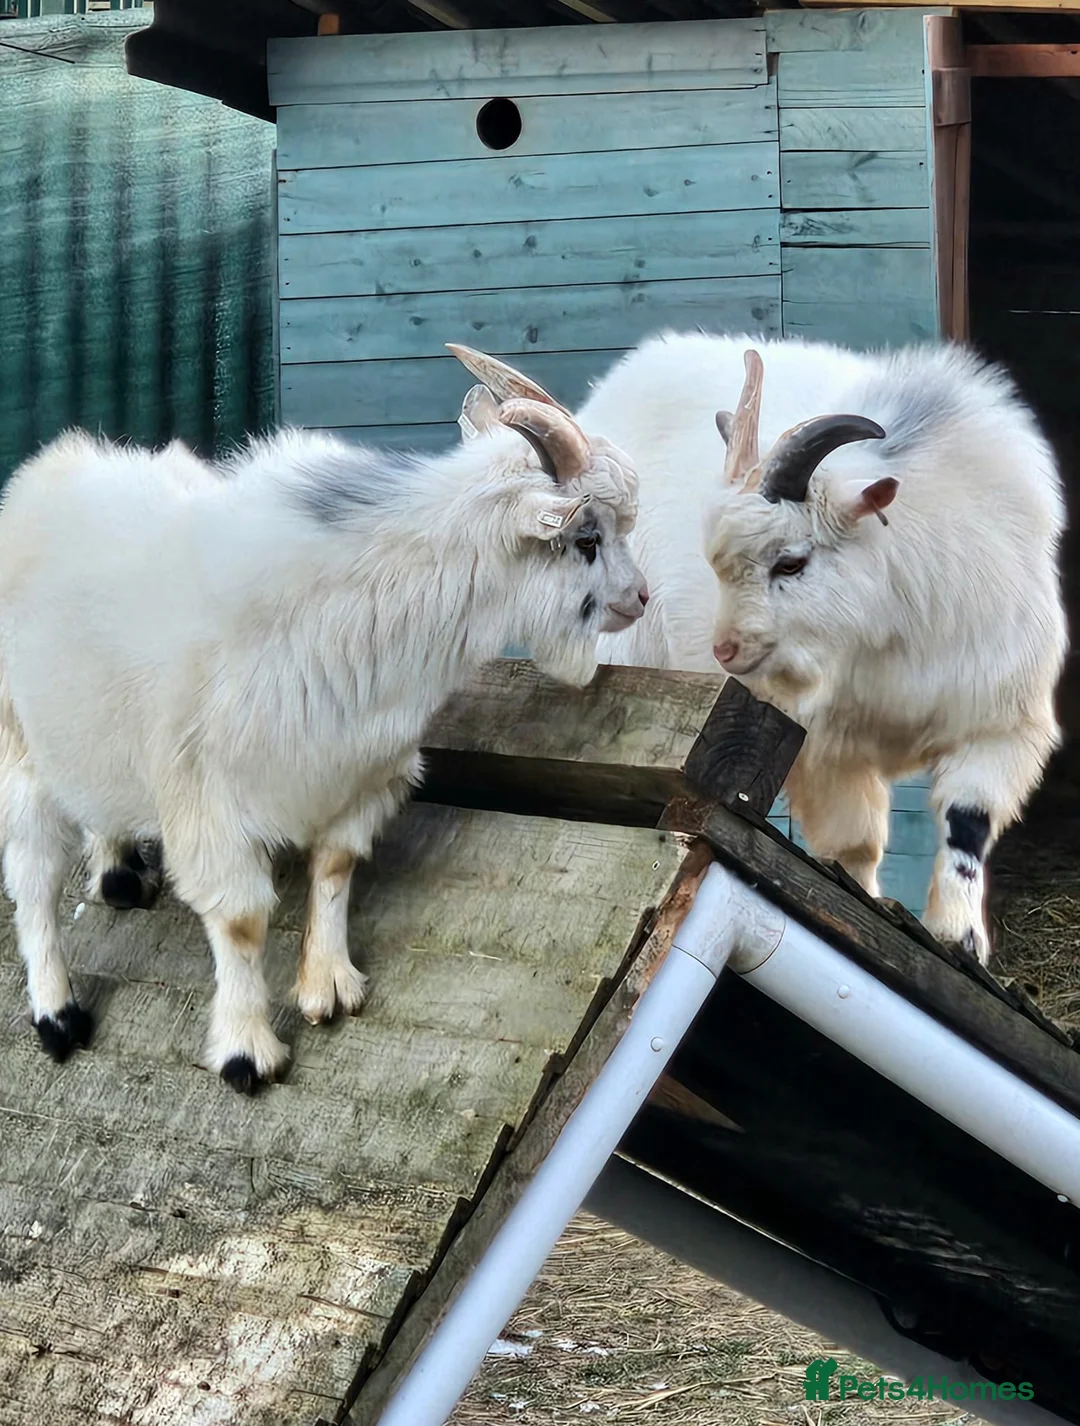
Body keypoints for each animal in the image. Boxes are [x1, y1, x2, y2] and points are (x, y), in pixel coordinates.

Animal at [0, 347, 647, 1092]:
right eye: (587, 537)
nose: (639, 598)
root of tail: (47, 473)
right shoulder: (207, 800)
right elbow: (242, 921)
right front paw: (247, 1052)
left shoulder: (359, 773)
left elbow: (336, 866)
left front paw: (329, 986)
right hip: (17, 745)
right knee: (33, 878)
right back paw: (58, 1016)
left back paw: (118, 876)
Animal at [577, 332, 1067, 963]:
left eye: (791, 562)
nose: (727, 650)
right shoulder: (827, 744)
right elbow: (854, 843)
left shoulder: (1000, 721)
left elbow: (967, 821)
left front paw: (960, 937)